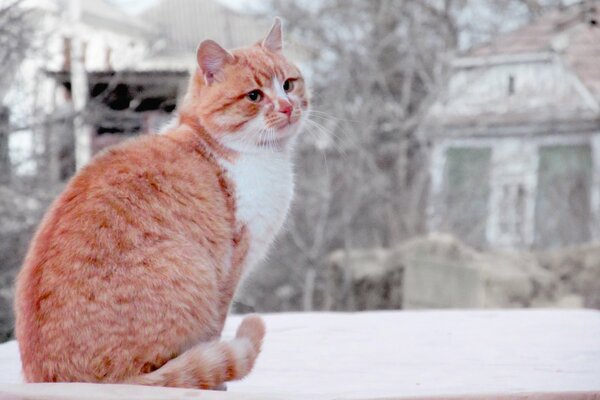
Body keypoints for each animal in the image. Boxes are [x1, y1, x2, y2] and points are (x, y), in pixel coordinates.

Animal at [14, 17, 310, 390]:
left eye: (288, 85)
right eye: (254, 96)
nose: (287, 107)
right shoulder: (230, 267)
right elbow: (216, 331)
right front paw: (219, 383)